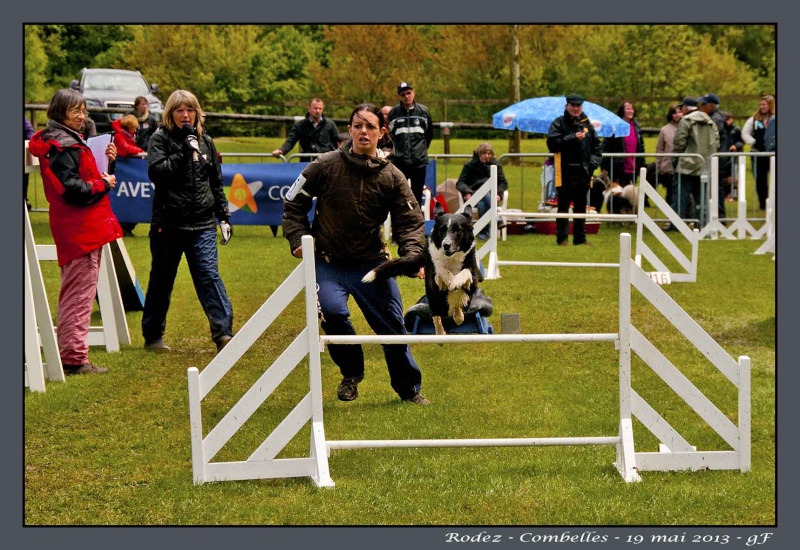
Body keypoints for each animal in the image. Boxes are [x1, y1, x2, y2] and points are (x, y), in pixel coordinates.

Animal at [362, 204, 482, 336]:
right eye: (442, 229)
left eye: (458, 230)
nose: (446, 245)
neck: (451, 259)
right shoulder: (435, 283)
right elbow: (440, 269)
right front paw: (450, 279)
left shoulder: (472, 281)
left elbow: (466, 272)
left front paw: (455, 282)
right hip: (434, 299)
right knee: (436, 315)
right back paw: (441, 332)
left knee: (457, 307)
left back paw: (458, 316)